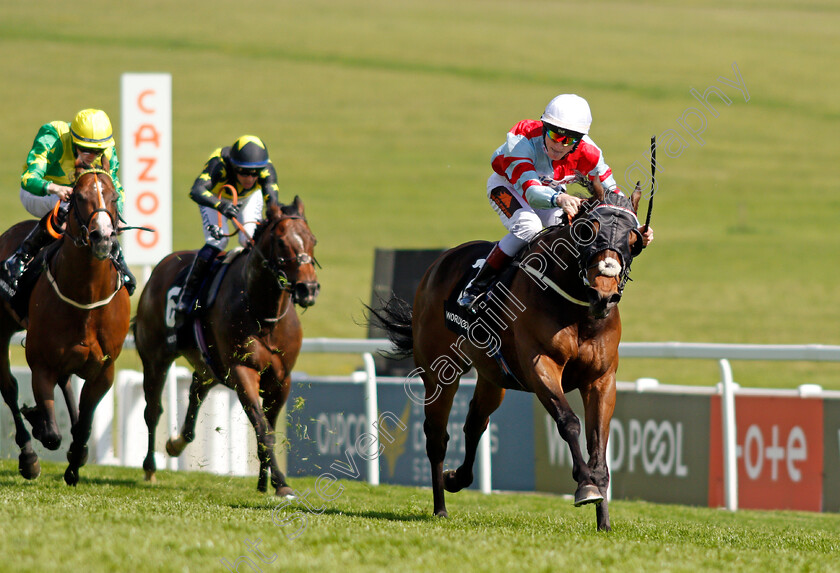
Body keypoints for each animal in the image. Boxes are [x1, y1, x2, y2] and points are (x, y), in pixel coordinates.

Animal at [0, 165, 131, 482]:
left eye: (113, 196)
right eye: (80, 196)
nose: (102, 237)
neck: (86, 295)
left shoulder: (104, 370)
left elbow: (84, 424)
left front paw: (77, 459)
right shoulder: (41, 364)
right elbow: (50, 434)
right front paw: (38, 421)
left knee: (67, 385)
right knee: (9, 388)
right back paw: (28, 456)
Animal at [136, 198, 320, 496]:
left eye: (312, 239)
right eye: (281, 241)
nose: (308, 289)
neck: (263, 314)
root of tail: (160, 268)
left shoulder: (281, 378)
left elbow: (269, 428)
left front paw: (264, 482)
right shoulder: (242, 370)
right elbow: (263, 429)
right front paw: (280, 484)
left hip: (209, 366)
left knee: (195, 392)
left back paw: (176, 443)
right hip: (155, 358)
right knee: (152, 410)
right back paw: (150, 467)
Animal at [370, 185, 648, 528]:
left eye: (633, 241)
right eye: (587, 232)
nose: (604, 295)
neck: (578, 310)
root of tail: (441, 261)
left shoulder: (601, 379)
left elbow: (599, 442)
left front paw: (603, 518)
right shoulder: (541, 365)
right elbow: (568, 422)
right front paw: (585, 485)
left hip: (493, 378)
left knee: (475, 422)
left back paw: (456, 478)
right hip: (438, 373)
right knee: (437, 436)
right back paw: (440, 507)